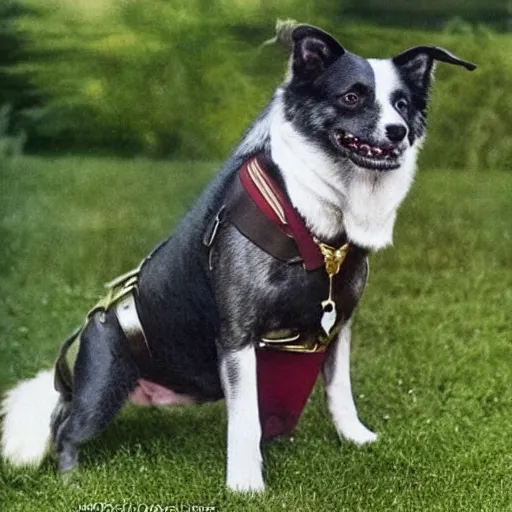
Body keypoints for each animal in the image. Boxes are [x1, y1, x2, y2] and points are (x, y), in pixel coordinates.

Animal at [1, 24, 476, 492]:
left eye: (402, 103)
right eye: (352, 97)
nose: (398, 131)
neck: (316, 220)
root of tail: (92, 324)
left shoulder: (339, 324)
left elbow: (339, 389)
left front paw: (356, 439)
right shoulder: (238, 337)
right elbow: (246, 420)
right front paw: (246, 485)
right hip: (102, 388)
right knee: (65, 429)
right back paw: (72, 482)